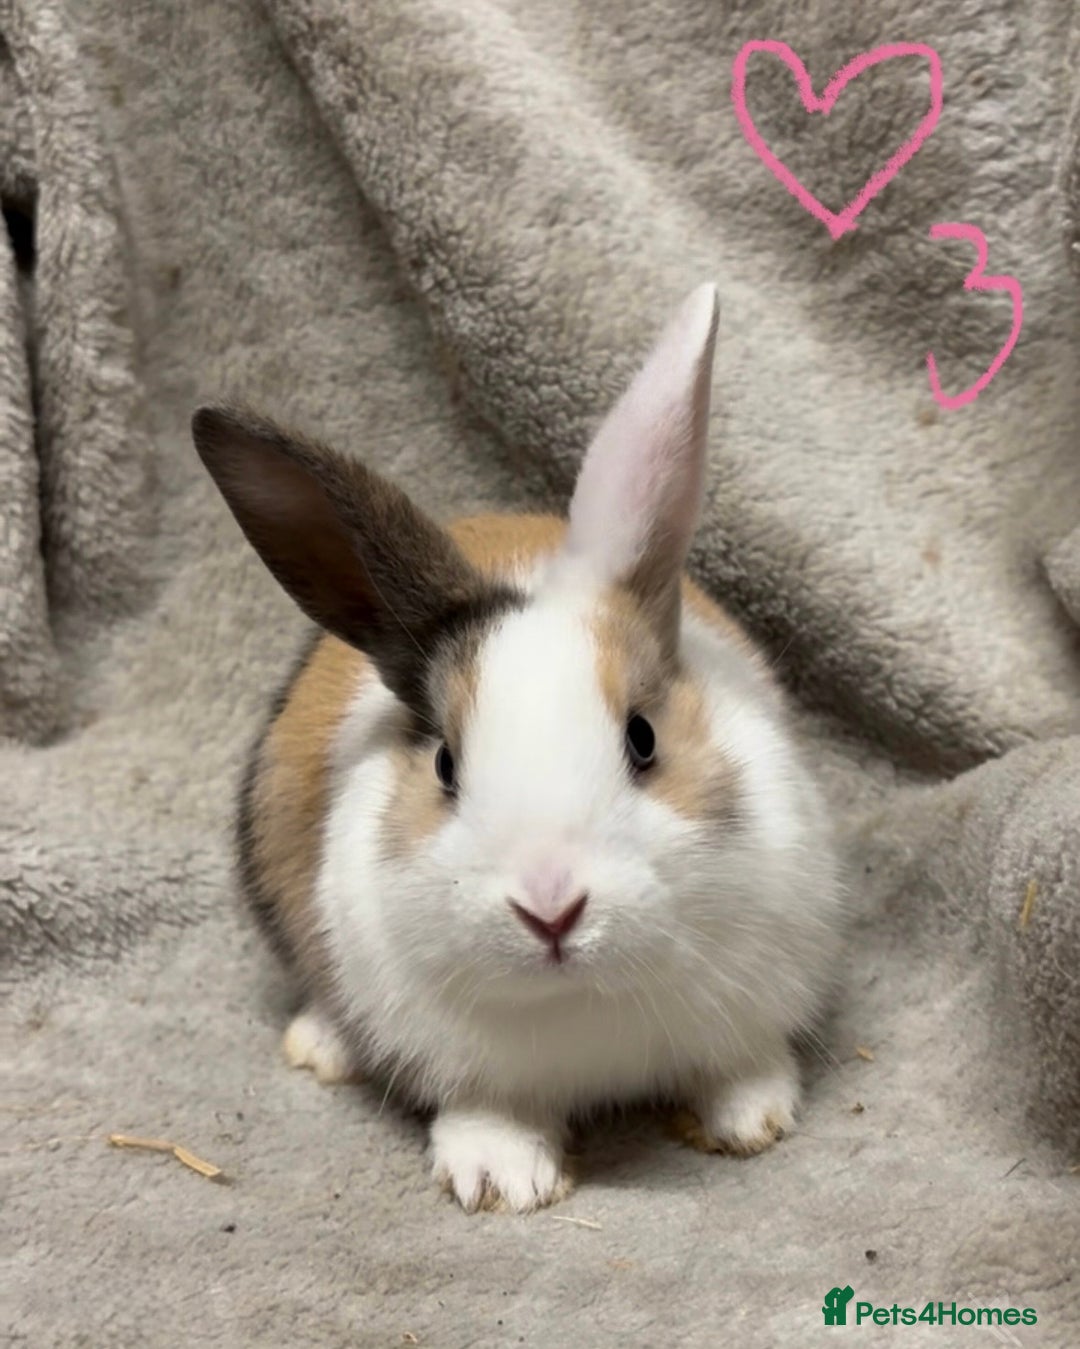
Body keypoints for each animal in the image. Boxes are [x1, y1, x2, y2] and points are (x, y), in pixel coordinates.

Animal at [192, 283, 843, 1213]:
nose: (551, 908)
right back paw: (322, 1044)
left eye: (643, 737)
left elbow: (739, 1066)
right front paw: (501, 1178)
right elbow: (490, 1109)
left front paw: (754, 1118)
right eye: (444, 765)